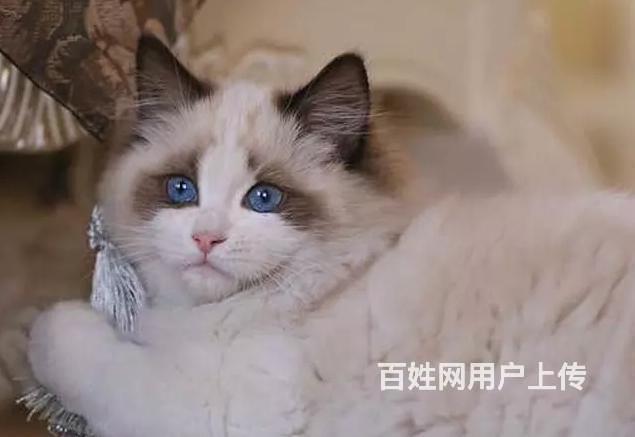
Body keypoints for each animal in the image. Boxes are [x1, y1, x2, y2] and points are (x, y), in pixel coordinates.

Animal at [28, 35, 635, 437]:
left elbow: (66, 338)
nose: (206, 240)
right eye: (182, 190)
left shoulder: (212, 407)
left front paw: (44, 328)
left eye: (264, 199)